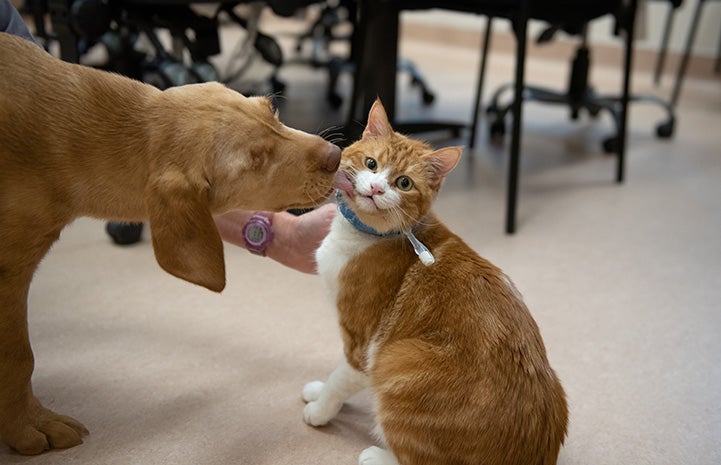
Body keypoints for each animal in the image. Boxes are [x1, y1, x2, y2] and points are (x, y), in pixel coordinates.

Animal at [300, 100, 564, 464]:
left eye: (403, 183)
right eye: (371, 164)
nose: (377, 188)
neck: (371, 236)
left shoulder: (362, 345)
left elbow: (339, 379)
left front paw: (321, 409)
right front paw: (317, 390)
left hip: (397, 359)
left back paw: (376, 456)